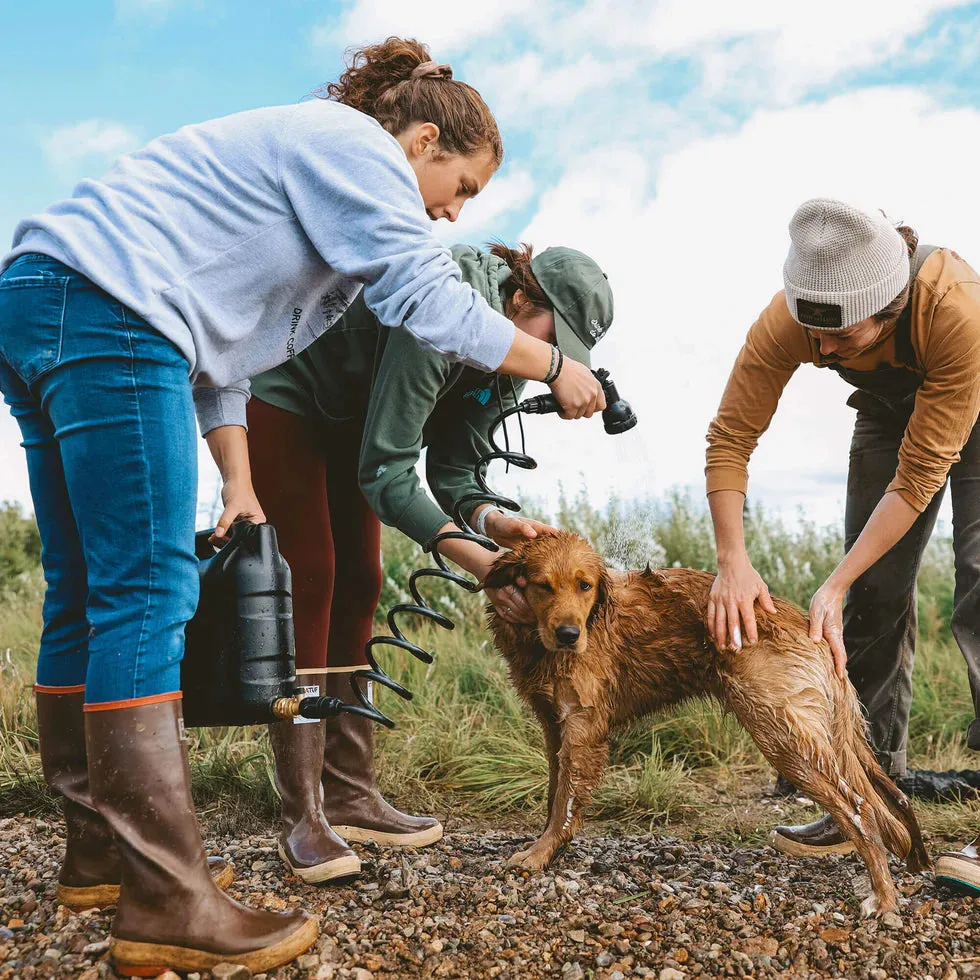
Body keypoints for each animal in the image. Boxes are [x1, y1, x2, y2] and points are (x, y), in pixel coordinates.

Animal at [486, 532, 932, 916]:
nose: (567, 634)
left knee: (861, 811)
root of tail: (813, 629)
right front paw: (548, 849)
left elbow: (565, 803)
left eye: (585, 585)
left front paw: (539, 854)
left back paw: (884, 898)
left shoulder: (582, 726)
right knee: (886, 808)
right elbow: (554, 797)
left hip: (782, 736)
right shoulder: (553, 725)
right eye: (542, 586)